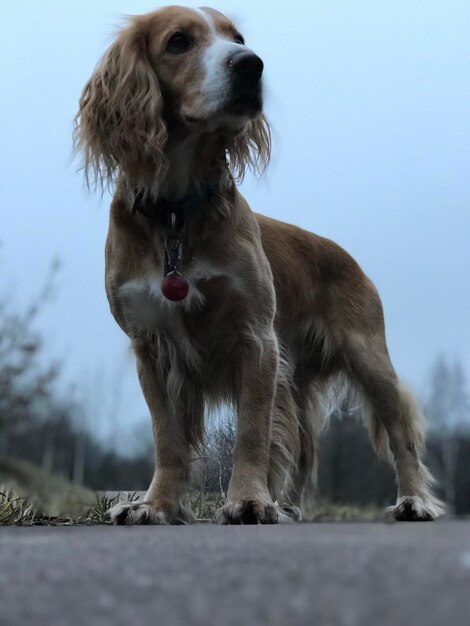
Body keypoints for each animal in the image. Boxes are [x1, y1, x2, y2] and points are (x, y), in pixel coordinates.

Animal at [74, 6, 444, 520]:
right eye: (178, 41)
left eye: (238, 38)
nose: (251, 65)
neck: (176, 214)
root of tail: (345, 255)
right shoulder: (150, 347)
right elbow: (167, 438)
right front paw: (158, 504)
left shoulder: (256, 339)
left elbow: (252, 432)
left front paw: (248, 500)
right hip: (299, 381)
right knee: (305, 448)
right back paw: (289, 506)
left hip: (370, 359)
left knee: (400, 435)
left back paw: (413, 500)